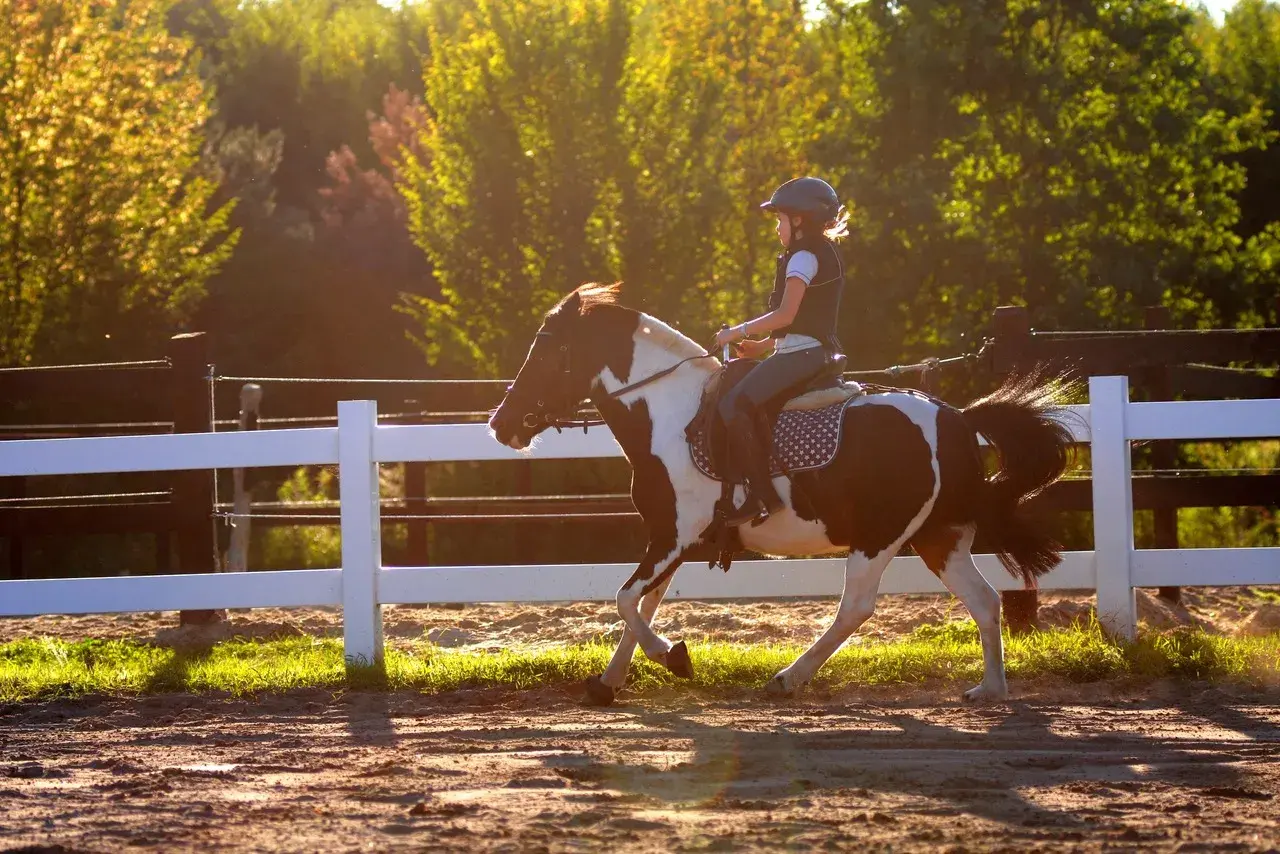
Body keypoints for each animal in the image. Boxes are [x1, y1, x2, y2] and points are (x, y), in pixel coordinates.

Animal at [488, 282, 1074, 706]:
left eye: (548, 351)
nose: (501, 424)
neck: (668, 415)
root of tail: (955, 418)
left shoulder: (674, 535)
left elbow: (627, 599)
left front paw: (675, 657)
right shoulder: (673, 540)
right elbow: (643, 603)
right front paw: (608, 683)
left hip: (881, 537)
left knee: (856, 608)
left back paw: (788, 678)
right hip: (939, 538)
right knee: (985, 600)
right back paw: (990, 689)